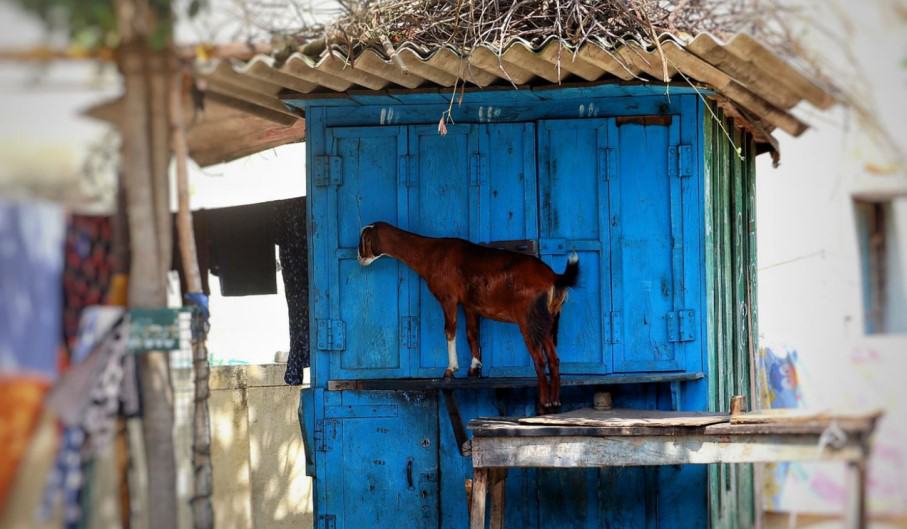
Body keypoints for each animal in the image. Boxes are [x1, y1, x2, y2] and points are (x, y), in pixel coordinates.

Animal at [358, 221, 579, 412]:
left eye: (363, 239)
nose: (359, 258)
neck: (430, 253)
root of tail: (554, 277)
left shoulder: (448, 298)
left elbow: (450, 330)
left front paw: (450, 370)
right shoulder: (470, 305)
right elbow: (471, 332)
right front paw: (474, 368)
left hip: (528, 320)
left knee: (539, 360)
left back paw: (544, 401)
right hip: (547, 321)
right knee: (554, 358)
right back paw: (555, 400)